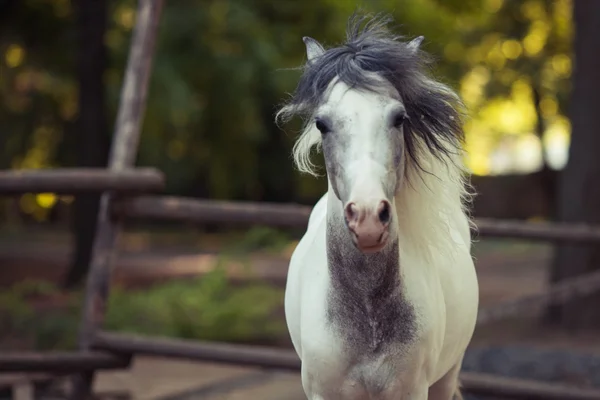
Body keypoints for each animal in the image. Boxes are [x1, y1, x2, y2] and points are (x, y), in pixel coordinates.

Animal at [278, 14, 480, 398]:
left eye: (399, 118)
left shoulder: (413, 389)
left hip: (448, 374)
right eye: (321, 124)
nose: (369, 218)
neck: (367, 313)